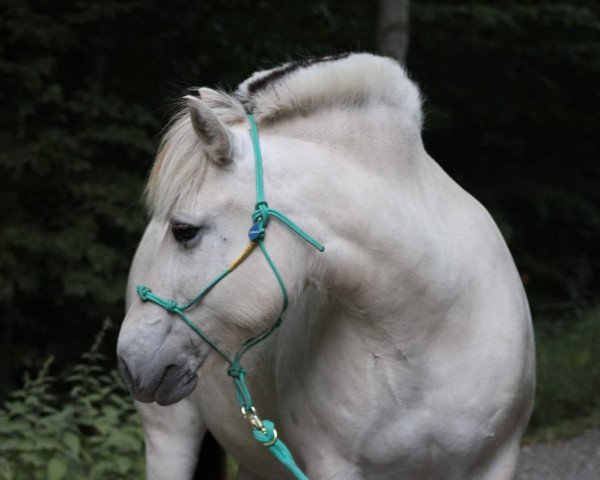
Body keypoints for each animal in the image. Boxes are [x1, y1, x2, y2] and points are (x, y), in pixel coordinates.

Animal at [116, 53, 536, 480]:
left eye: (184, 230)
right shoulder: (333, 466)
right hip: (171, 437)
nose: (129, 360)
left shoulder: (497, 461)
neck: (430, 328)